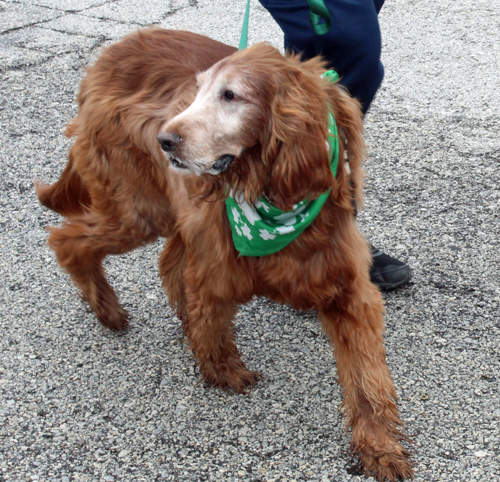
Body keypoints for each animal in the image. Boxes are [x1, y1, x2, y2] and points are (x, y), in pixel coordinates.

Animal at [36, 28, 414, 480]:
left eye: (231, 95)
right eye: (195, 93)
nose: (165, 140)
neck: (276, 195)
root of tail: (107, 56)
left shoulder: (349, 292)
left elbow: (369, 379)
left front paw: (380, 448)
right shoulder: (213, 259)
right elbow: (212, 322)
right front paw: (222, 370)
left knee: (164, 261)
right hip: (139, 208)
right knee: (69, 239)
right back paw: (107, 309)